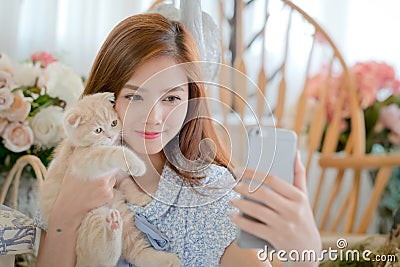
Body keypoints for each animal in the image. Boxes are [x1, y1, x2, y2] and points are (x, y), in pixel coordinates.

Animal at [38, 92, 180, 267]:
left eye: (114, 123)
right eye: (98, 130)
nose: (111, 135)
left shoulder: (118, 179)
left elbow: (128, 184)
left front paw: (141, 198)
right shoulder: (84, 160)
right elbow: (112, 152)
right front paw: (136, 163)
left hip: (125, 217)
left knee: (136, 252)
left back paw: (167, 259)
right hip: (92, 217)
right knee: (99, 259)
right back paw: (112, 230)